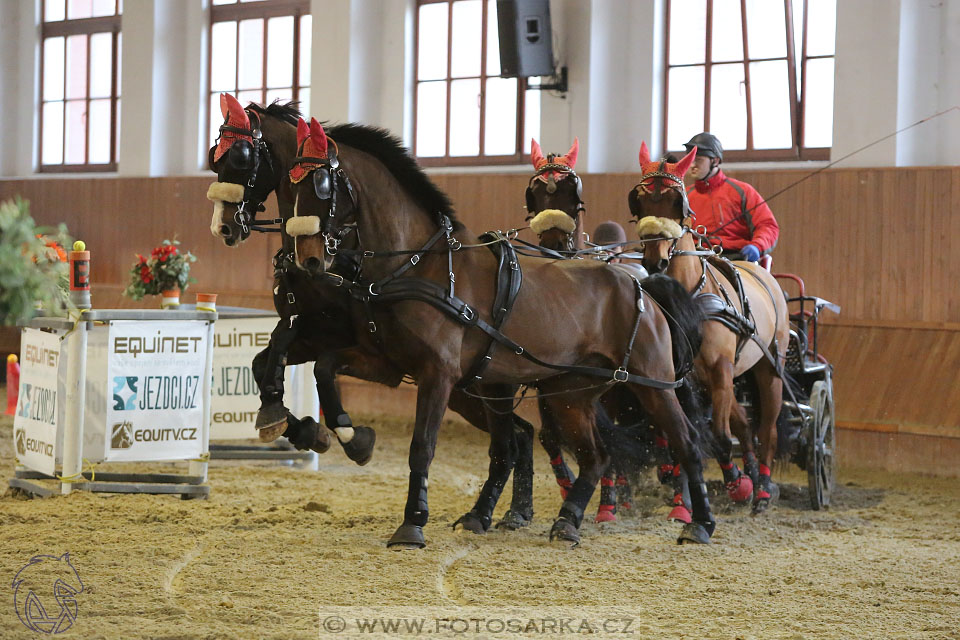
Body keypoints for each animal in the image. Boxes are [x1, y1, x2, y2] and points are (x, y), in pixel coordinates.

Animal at [203, 94, 540, 524]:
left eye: (243, 158)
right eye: (215, 157)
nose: (223, 228)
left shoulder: (339, 333)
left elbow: (301, 361)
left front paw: (341, 435)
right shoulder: (308, 326)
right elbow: (266, 361)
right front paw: (290, 421)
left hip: (475, 387)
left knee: (514, 436)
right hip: (467, 391)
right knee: (520, 434)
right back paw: (515, 511)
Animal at [284, 119, 712, 544]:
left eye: (321, 184)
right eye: (293, 186)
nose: (308, 258)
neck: (418, 265)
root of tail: (640, 284)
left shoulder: (438, 374)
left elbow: (423, 445)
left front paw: (412, 523)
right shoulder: (388, 363)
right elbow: (324, 367)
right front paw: (352, 439)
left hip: (652, 383)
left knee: (687, 443)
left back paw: (699, 523)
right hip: (569, 393)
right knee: (596, 455)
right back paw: (566, 521)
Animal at [632, 142, 788, 512]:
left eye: (676, 201)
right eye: (639, 201)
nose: (654, 260)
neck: (691, 297)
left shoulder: (720, 368)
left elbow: (719, 436)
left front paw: (737, 484)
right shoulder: (684, 377)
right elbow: (684, 435)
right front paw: (684, 498)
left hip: (767, 368)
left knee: (767, 429)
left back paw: (762, 488)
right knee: (743, 424)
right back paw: (751, 474)